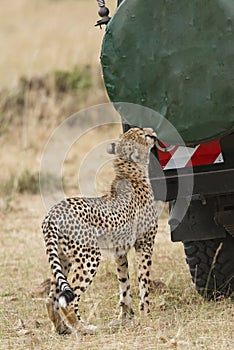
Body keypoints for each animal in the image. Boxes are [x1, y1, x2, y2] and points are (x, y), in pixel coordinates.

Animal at [42, 127, 158, 334]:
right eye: (143, 134)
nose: (153, 132)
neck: (132, 173)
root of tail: (53, 212)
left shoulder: (120, 251)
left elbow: (124, 284)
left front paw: (125, 317)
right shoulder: (145, 244)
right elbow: (143, 282)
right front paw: (146, 316)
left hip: (62, 258)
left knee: (51, 298)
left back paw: (62, 329)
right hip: (89, 258)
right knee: (70, 301)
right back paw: (83, 329)